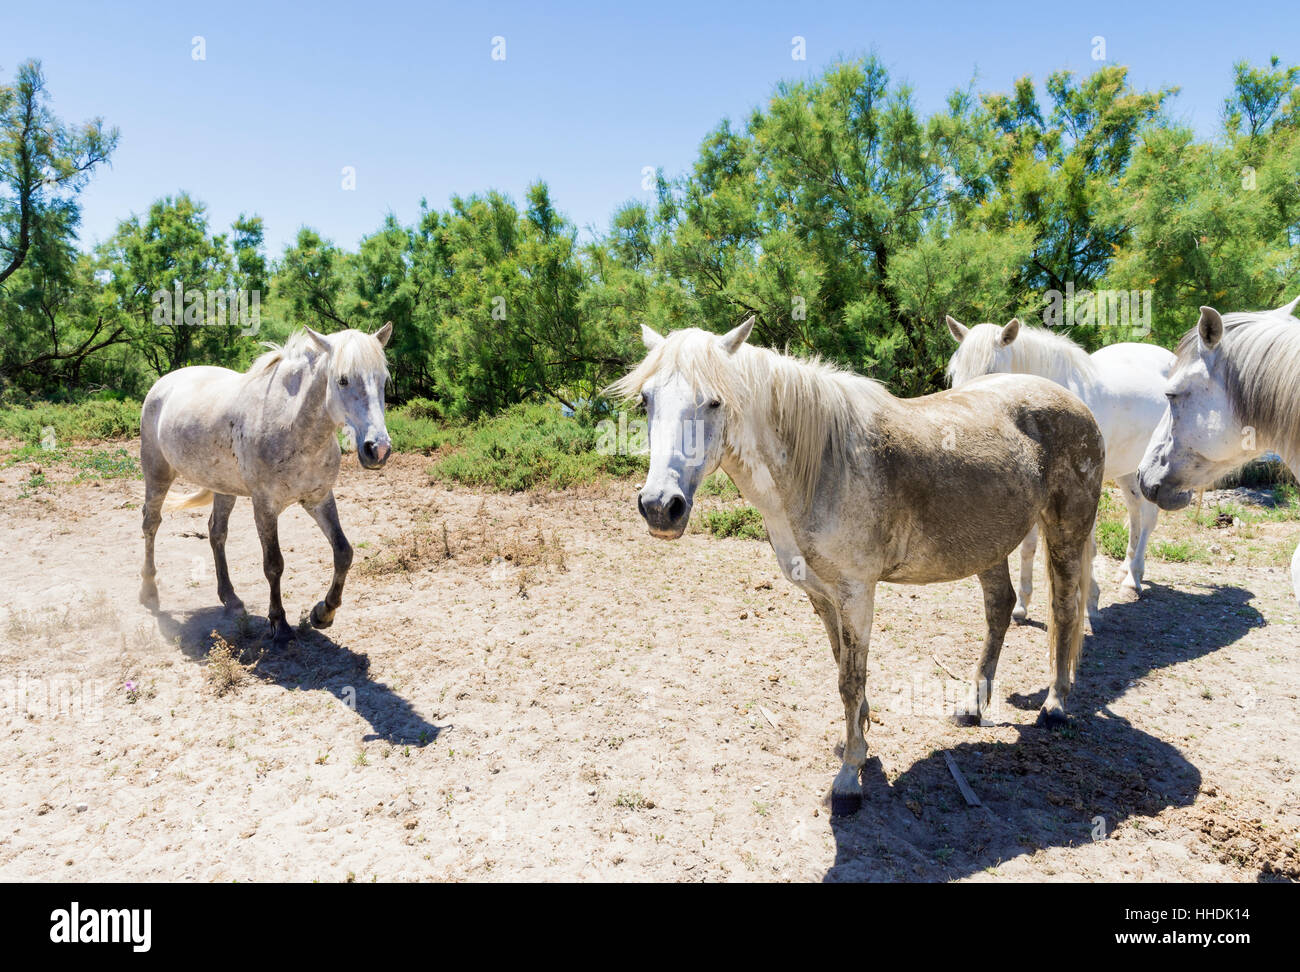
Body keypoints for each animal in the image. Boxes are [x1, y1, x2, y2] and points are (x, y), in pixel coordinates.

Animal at [138, 326, 390, 644]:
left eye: (383, 380)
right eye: (343, 380)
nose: (378, 450)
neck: (291, 424)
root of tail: (163, 383)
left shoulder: (319, 499)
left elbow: (343, 552)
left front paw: (323, 613)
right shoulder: (265, 507)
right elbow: (274, 564)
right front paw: (279, 623)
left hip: (223, 488)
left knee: (216, 533)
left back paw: (230, 598)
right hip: (157, 472)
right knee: (151, 524)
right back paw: (149, 593)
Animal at [613, 317, 1102, 810]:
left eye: (714, 401)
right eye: (645, 400)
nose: (660, 507)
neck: (821, 467)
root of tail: (1074, 402)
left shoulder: (856, 593)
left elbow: (850, 678)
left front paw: (849, 778)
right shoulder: (822, 595)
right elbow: (844, 666)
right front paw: (858, 741)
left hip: (1065, 531)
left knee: (1064, 609)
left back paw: (1055, 705)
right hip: (988, 544)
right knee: (1000, 608)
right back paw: (972, 706)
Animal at [946, 318, 1180, 623]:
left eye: (990, 373)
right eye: (954, 373)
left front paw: (1090, 602)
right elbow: (1028, 547)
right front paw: (1022, 605)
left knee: (1149, 517)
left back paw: (1133, 579)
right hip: (1127, 471)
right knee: (1135, 513)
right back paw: (1126, 569)